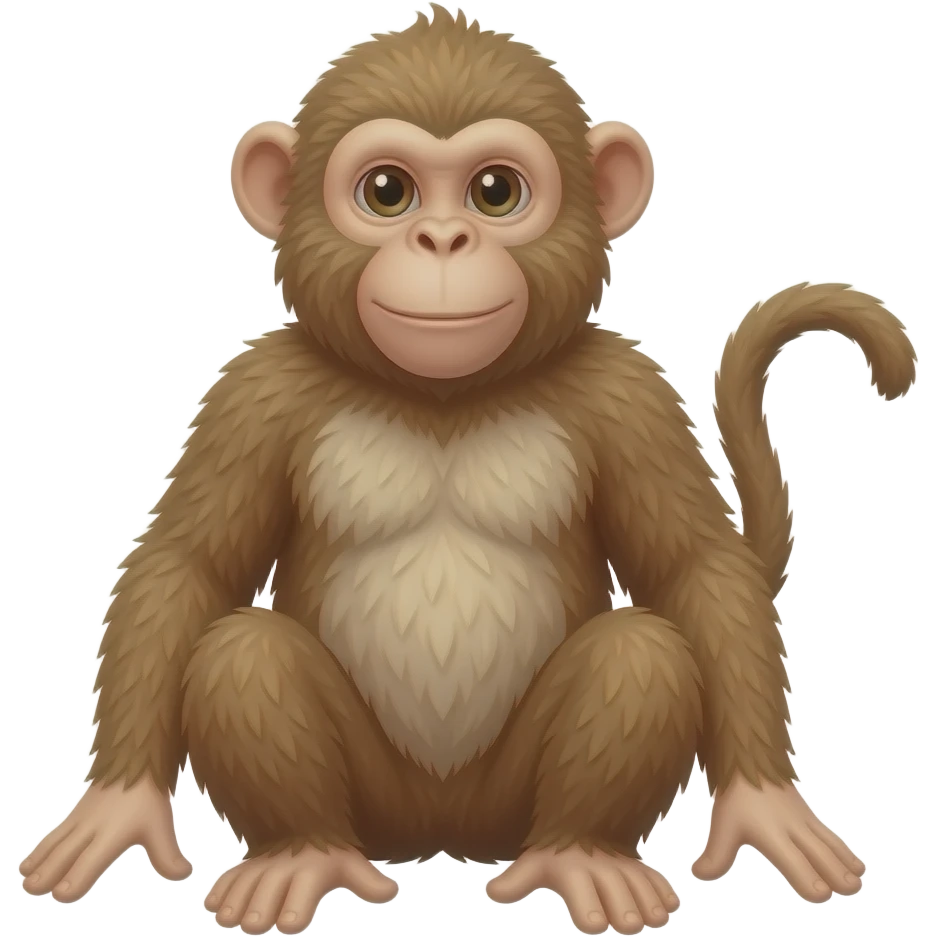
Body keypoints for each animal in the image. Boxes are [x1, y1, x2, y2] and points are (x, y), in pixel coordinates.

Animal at [18, 6, 918, 936]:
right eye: (387, 191)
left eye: (495, 192)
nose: (443, 238)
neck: (442, 398)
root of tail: (440, 838)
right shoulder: (254, 394)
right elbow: (188, 566)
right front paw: (116, 805)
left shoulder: (626, 392)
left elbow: (692, 570)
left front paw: (765, 804)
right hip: (383, 800)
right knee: (243, 652)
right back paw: (301, 852)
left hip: (503, 802)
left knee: (639, 652)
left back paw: (582, 852)